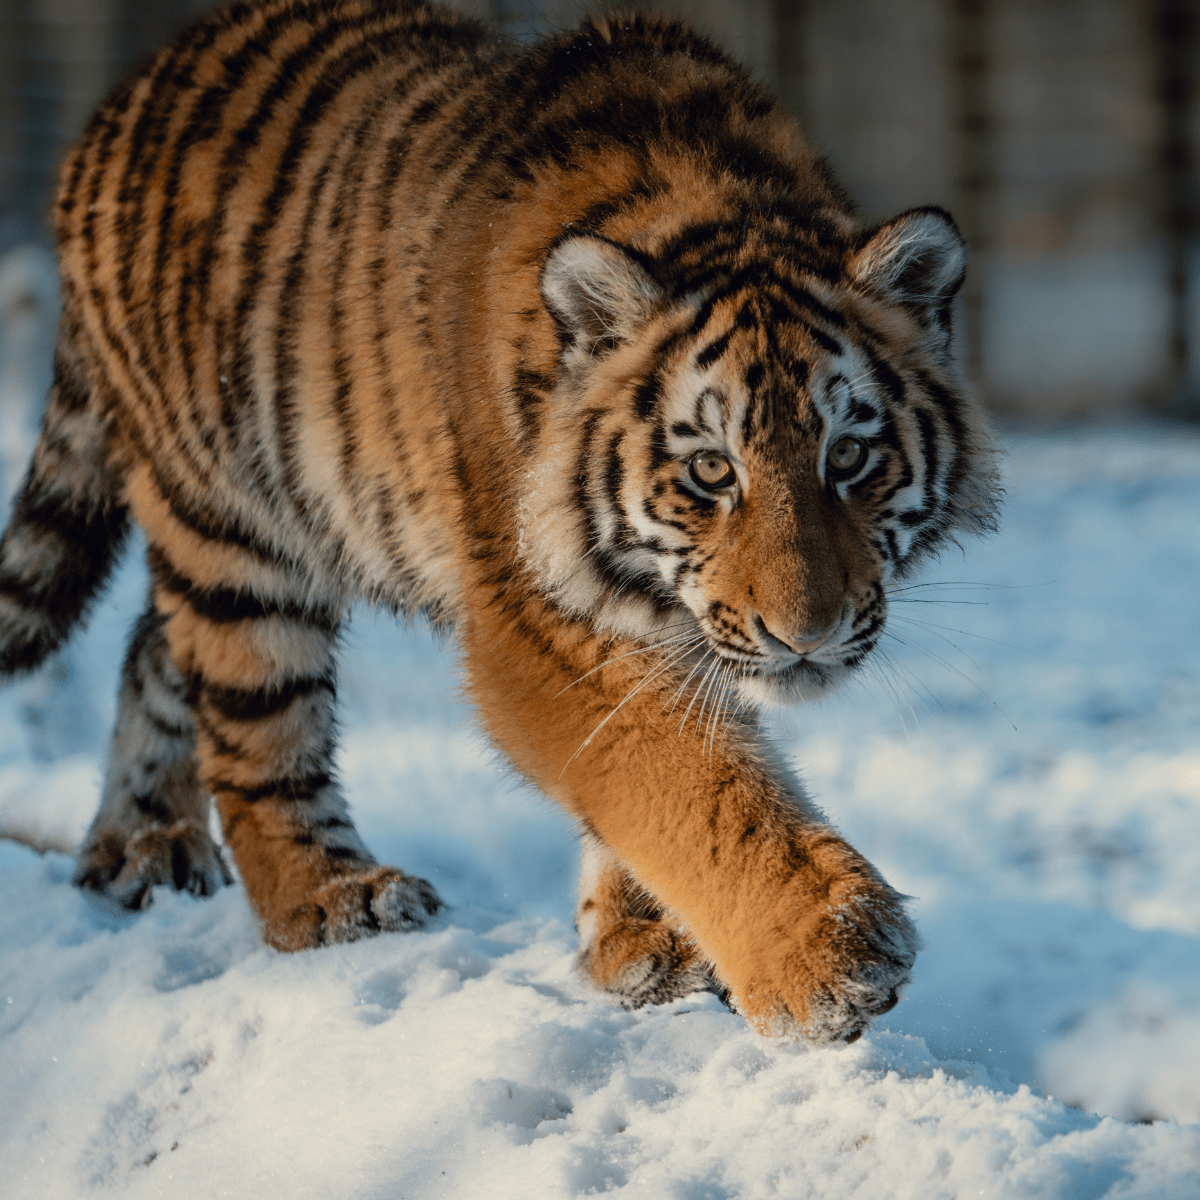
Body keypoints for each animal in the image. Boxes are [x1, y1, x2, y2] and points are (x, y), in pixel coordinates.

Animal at [0, 0, 999, 1046]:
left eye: (847, 457)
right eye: (710, 470)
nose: (806, 635)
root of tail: (119, 102)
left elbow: (678, 766)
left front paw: (644, 946)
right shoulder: (534, 622)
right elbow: (689, 782)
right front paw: (832, 954)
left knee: (156, 652)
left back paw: (139, 852)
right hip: (232, 527)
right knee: (253, 730)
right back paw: (331, 898)